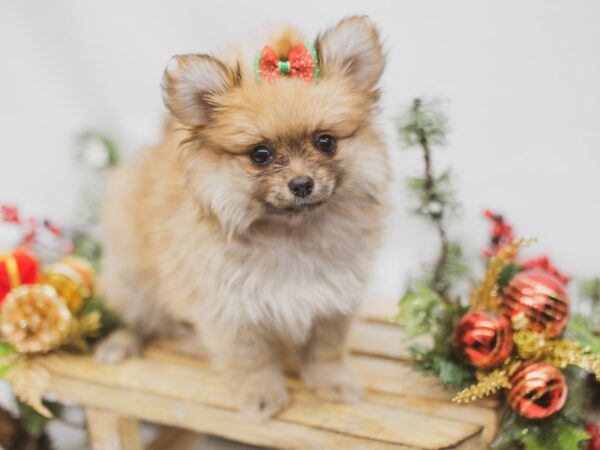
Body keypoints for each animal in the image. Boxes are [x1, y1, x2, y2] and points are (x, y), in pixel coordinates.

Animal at [96, 16, 392, 418]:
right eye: (260, 155)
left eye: (326, 142)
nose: (302, 183)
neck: (291, 233)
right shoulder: (234, 312)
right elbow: (253, 361)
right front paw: (262, 395)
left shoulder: (333, 303)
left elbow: (325, 352)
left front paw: (332, 384)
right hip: (134, 280)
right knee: (140, 319)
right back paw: (121, 343)